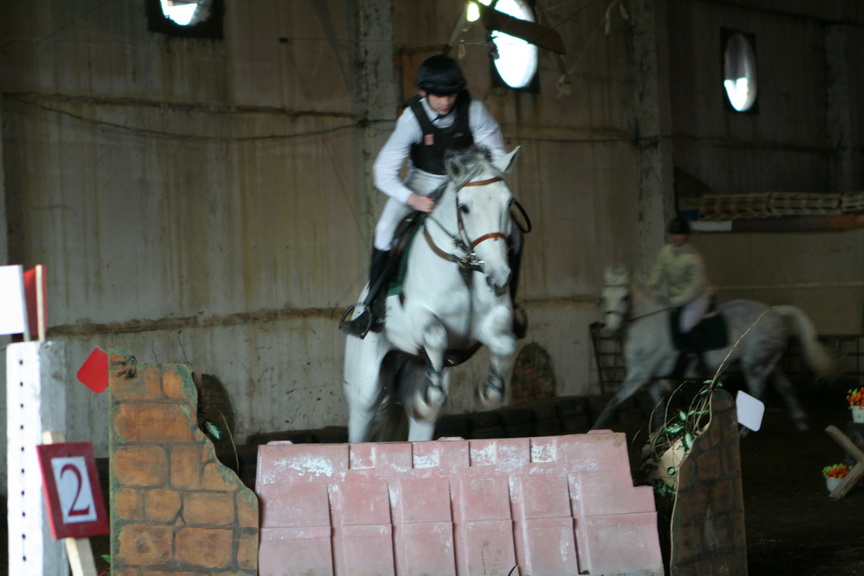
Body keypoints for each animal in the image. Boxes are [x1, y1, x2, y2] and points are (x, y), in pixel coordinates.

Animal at [343, 147, 521, 443]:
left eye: (508, 204)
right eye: (465, 207)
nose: (499, 278)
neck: (464, 266)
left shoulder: (488, 323)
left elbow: (505, 343)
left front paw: (492, 391)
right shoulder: (414, 319)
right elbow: (436, 334)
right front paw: (433, 393)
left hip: (415, 381)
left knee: (421, 421)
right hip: (365, 390)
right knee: (361, 419)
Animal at [593, 266, 837, 432]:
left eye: (625, 297)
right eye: (604, 297)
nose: (609, 330)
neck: (646, 325)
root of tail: (773, 311)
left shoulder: (638, 376)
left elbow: (612, 404)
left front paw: (594, 432)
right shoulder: (650, 379)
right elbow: (658, 412)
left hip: (755, 366)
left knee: (759, 397)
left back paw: (742, 433)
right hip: (767, 362)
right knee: (785, 387)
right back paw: (800, 422)